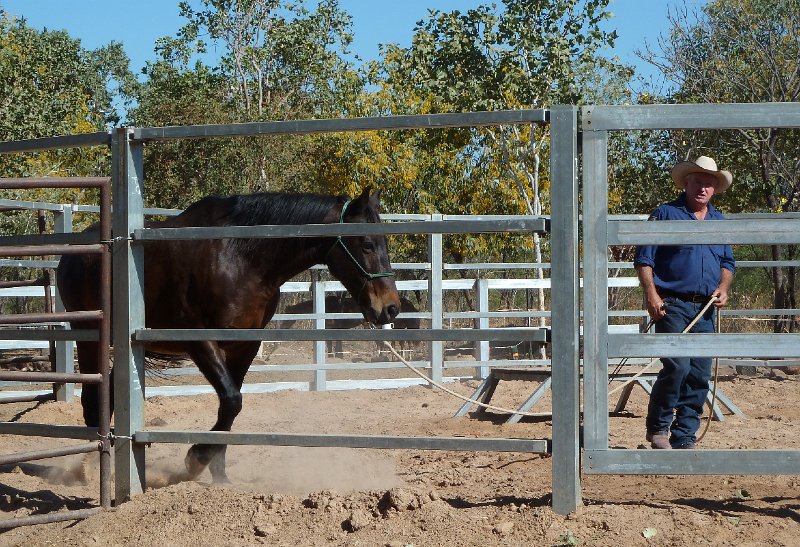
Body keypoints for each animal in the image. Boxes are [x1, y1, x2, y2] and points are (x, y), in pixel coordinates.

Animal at [57, 186, 400, 482]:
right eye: (367, 244)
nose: (390, 307)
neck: (240, 257)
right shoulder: (201, 341)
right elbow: (233, 401)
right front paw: (196, 459)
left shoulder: (244, 345)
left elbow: (229, 408)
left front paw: (218, 475)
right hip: (90, 337)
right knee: (91, 399)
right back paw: (91, 471)